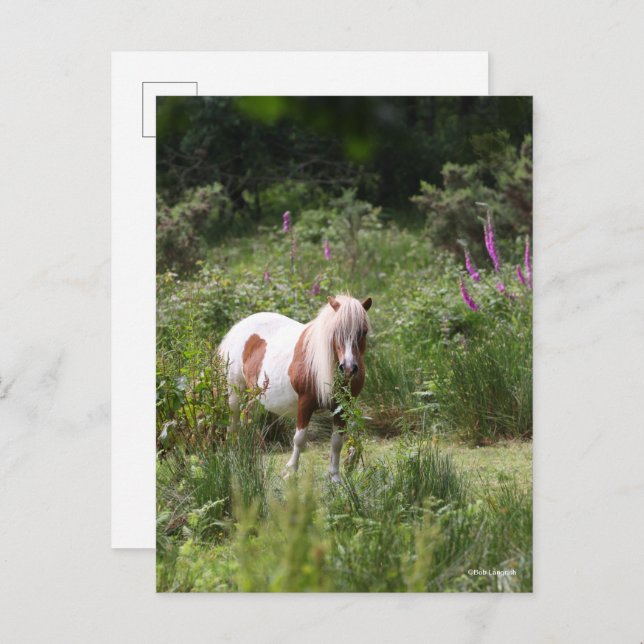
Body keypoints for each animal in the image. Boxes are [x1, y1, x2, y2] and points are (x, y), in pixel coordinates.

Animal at [219, 294, 372, 482]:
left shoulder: (342, 408)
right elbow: (299, 438)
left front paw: (334, 476)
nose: (349, 368)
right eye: (336, 332)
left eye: (363, 331)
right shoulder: (305, 403)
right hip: (235, 391)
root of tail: (239, 327)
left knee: (247, 418)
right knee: (233, 422)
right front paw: (291, 471)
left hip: (257, 396)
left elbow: (337, 441)